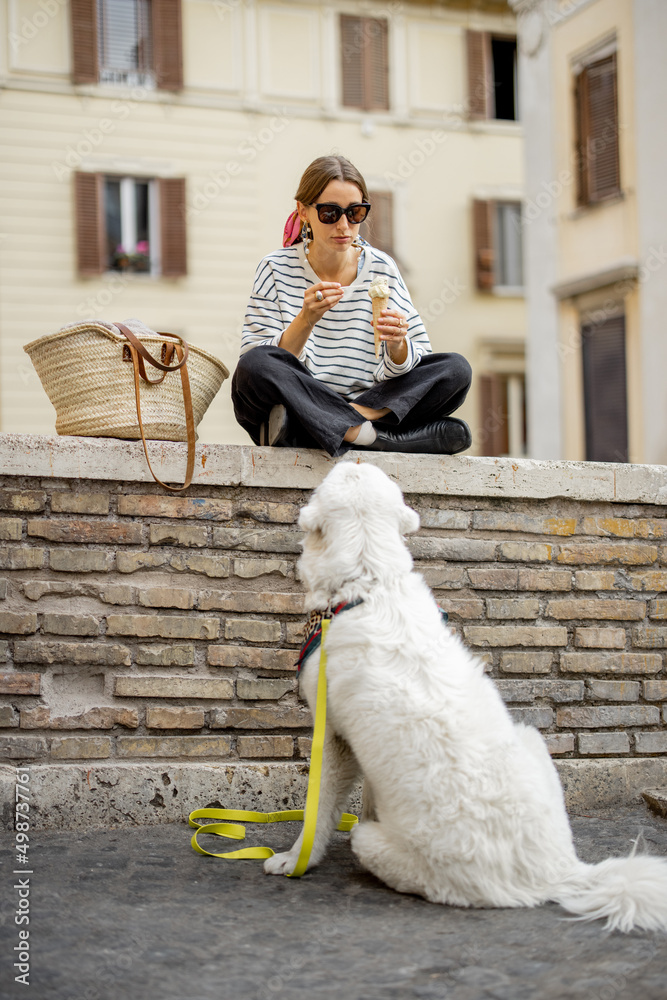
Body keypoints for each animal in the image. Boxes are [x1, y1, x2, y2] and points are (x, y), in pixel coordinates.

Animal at [266, 460, 667, 928]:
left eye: (335, 478)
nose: (357, 458)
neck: (371, 583)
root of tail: (560, 873)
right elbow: (370, 796)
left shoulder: (332, 738)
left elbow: (321, 808)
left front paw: (295, 859)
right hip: (530, 739)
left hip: (379, 846)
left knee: (370, 842)